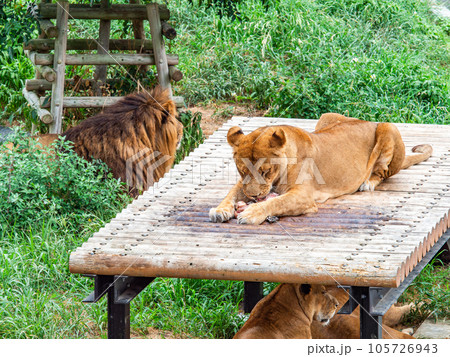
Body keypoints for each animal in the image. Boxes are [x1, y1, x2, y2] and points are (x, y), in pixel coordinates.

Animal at [211, 114, 432, 224]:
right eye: (242, 171)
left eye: (266, 171)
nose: (254, 197)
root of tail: (367, 121)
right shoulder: (243, 184)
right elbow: (232, 193)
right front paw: (220, 210)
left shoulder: (304, 196)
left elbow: (276, 202)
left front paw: (251, 213)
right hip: (326, 116)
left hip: (388, 126)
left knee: (382, 173)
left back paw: (368, 182)